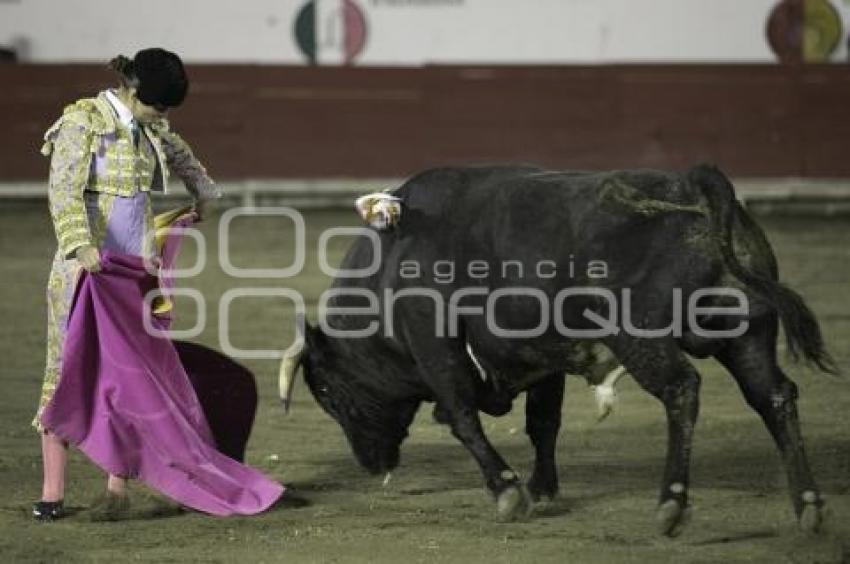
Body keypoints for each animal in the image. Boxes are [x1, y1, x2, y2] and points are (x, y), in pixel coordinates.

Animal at [280, 163, 836, 532]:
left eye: (326, 393)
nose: (370, 465)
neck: (391, 262)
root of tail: (695, 181)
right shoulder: (540, 357)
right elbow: (543, 422)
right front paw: (544, 490)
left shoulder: (435, 346)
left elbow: (462, 418)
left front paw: (509, 491)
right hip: (746, 332)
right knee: (774, 396)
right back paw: (808, 505)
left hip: (640, 333)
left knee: (682, 388)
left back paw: (672, 504)